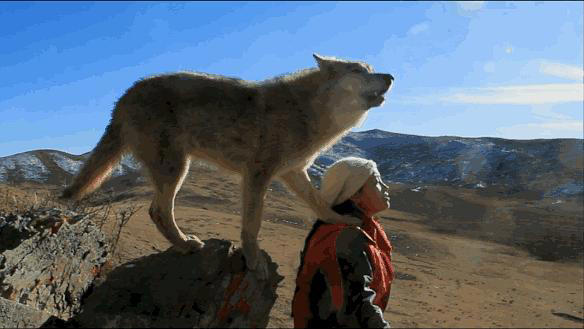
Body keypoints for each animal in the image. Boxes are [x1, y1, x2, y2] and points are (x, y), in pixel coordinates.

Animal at [60, 54, 392, 276]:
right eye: (358, 70)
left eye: (371, 69)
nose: (391, 76)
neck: (310, 112)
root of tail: (125, 95)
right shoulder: (257, 174)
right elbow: (252, 224)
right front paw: (254, 261)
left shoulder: (293, 172)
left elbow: (319, 203)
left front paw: (342, 219)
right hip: (176, 169)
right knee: (158, 211)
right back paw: (187, 244)